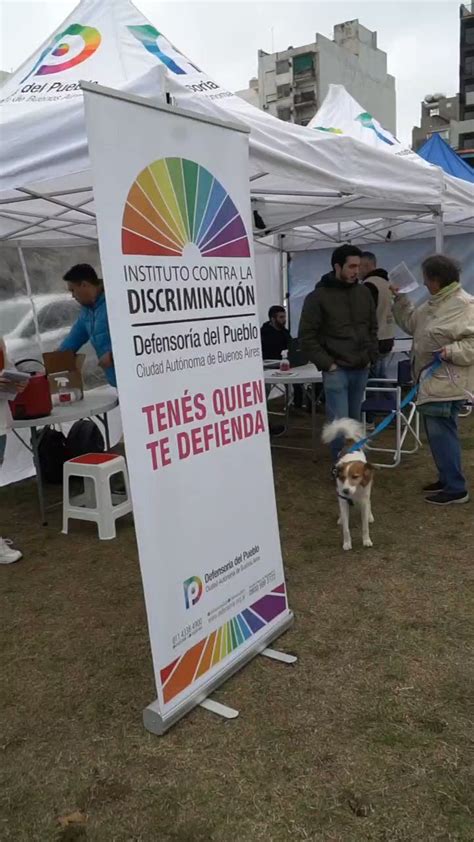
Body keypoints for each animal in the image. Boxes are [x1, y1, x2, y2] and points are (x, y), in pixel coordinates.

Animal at [324, 418, 376, 552]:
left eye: (355, 477)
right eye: (342, 477)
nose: (346, 491)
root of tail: (350, 442)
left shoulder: (364, 500)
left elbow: (365, 526)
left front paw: (366, 540)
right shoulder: (343, 500)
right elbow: (346, 529)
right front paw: (347, 543)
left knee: (370, 502)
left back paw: (370, 516)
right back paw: (341, 518)